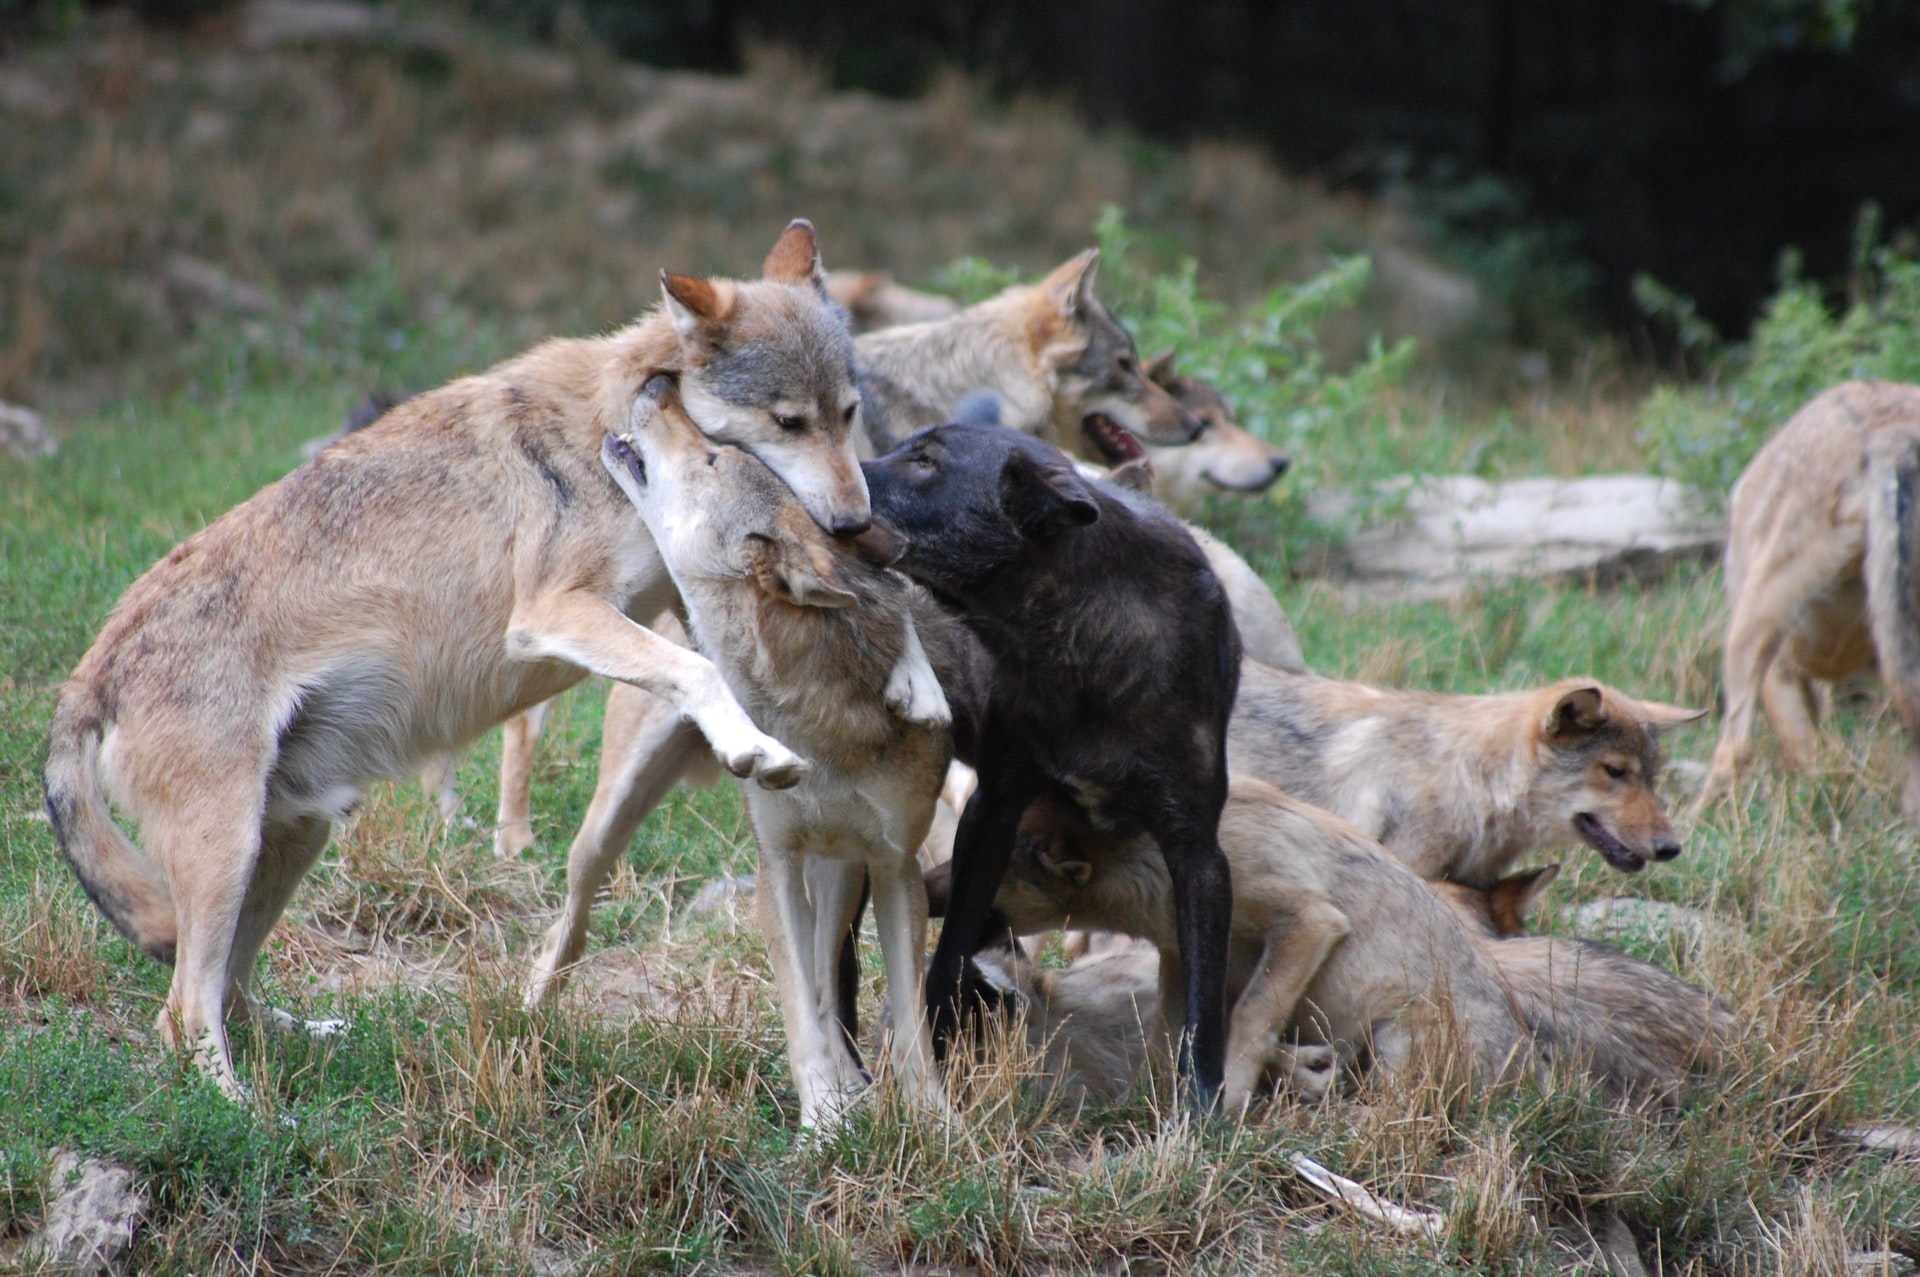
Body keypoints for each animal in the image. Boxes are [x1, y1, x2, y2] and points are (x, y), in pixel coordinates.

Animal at [43, 221, 868, 1101]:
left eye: (848, 414)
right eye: (790, 421)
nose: (857, 522)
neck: (614, 430)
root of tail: (93, 665)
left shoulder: (665, 608)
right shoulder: (551, 613)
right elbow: (701, 673)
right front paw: (756, 747)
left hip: (289, 842)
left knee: (227, 989)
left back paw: (310, 1038)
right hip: (228, 854)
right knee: (183, 1013)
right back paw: (251, 1115)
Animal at [600, 374, 957, 1130]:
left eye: (713, 460)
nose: (657, 381)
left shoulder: (896, 866)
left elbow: (909, 1022)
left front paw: (935, 1125)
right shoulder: (777, 862)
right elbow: (801, 1018)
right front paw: (822, 1125)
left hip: (844, 871)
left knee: (829, 978)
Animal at [864, 421, 1241, 1102]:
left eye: (926, 462)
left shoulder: (1198, 852)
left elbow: (1204, 1001)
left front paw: (1201, 1109)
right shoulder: (992, 812)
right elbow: (949, 954)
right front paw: (939, 1047)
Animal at [950, 779, 1736, 1111]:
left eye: (983, 875)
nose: (934, 898)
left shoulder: (1306, 919)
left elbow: (1246, 1023)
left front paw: (1229, 1105)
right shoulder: (1184, 962)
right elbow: (1199, 1032)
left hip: (1398, 1034)